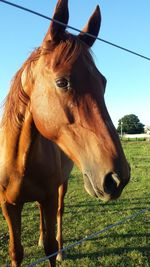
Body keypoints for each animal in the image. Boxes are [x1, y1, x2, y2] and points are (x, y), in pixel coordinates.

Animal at [0, 0, 130, 267]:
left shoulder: (49, 198)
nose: (117, 178)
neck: (19, 160)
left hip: (62, 186)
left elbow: (50, 246)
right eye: (62, 82)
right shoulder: (8, 205)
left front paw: (54, 250)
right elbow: (16, 251)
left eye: (103, 82)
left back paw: (61, 249)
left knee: (59, 215)